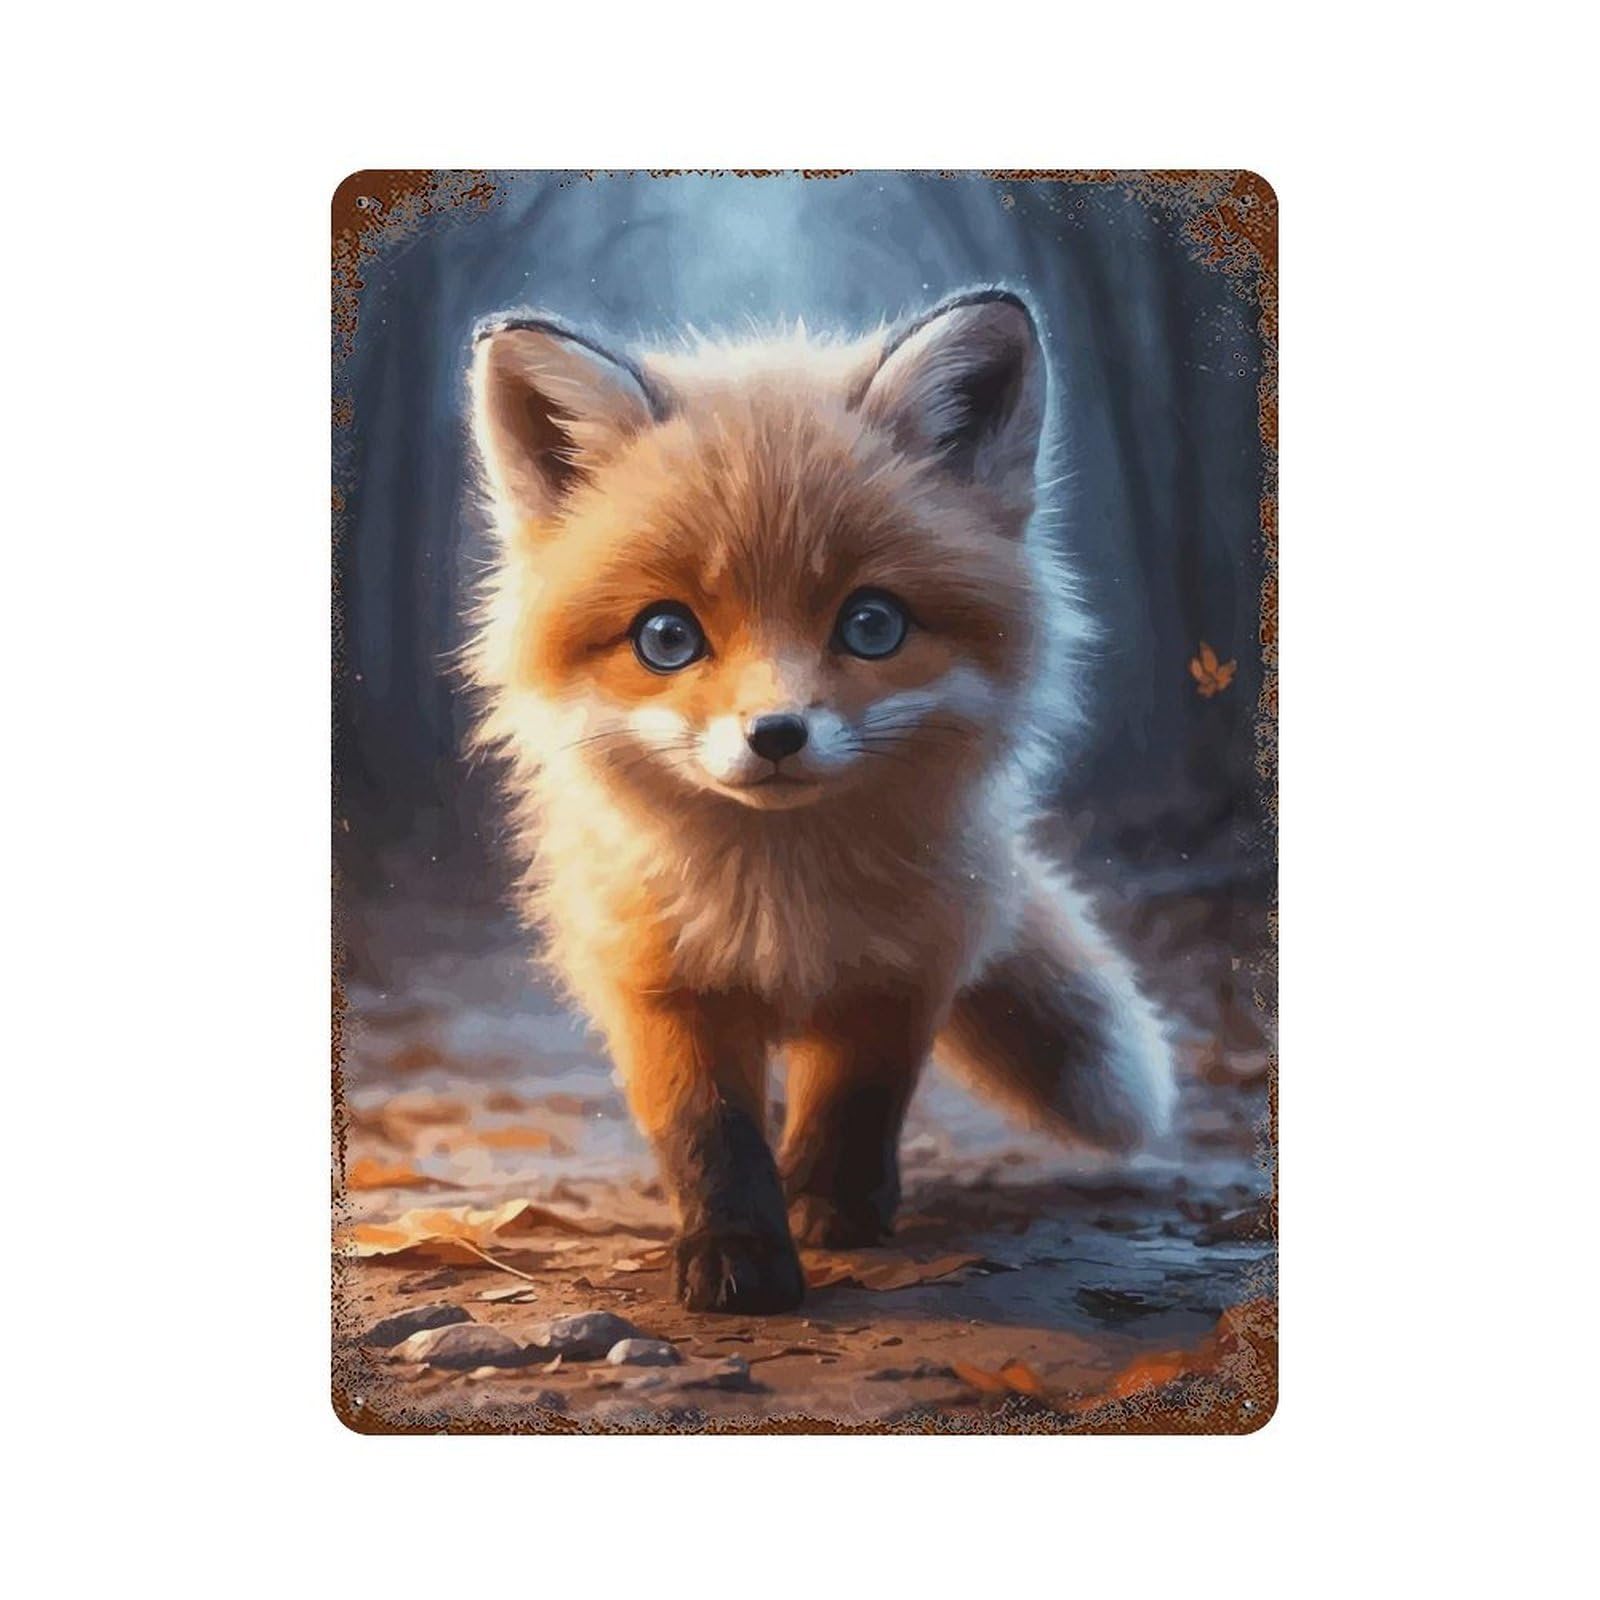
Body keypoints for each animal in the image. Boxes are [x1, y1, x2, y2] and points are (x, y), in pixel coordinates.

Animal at [466, 288, 1175, 1313]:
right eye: (667, 637)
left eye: (871, 625)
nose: (776, 735)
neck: (780, 906)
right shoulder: (660, 978)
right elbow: (709, 1133)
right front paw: (735, 1250)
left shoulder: (903, 964)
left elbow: (856, 1100)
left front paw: (830, 1207)